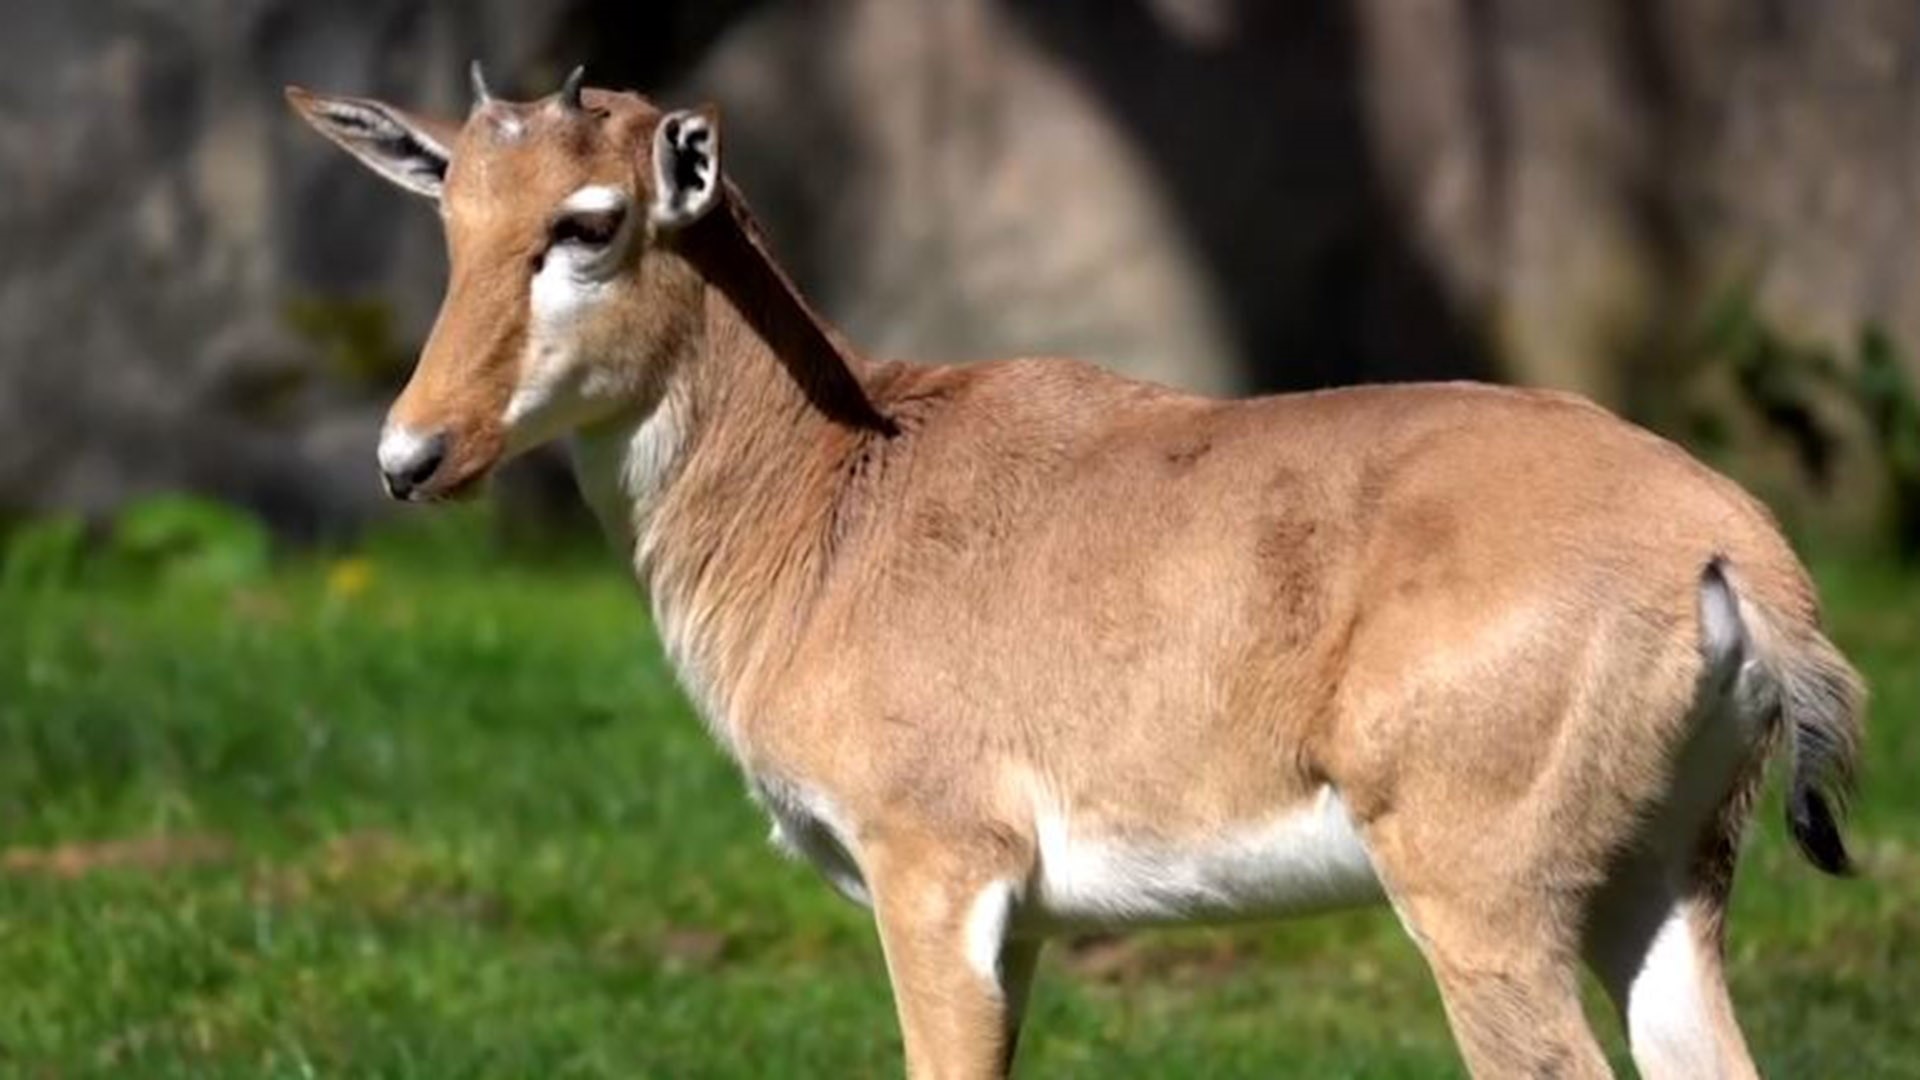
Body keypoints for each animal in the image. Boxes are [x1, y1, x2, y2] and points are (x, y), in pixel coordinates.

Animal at [284, 71, 1858, 1068]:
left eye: (589, 222)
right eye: (452, 213)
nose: (414, 455)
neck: (842, 488)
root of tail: (1732, 545)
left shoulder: (936, 879)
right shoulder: (1024, 928)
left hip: (1491, 913)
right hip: (1662, 890)